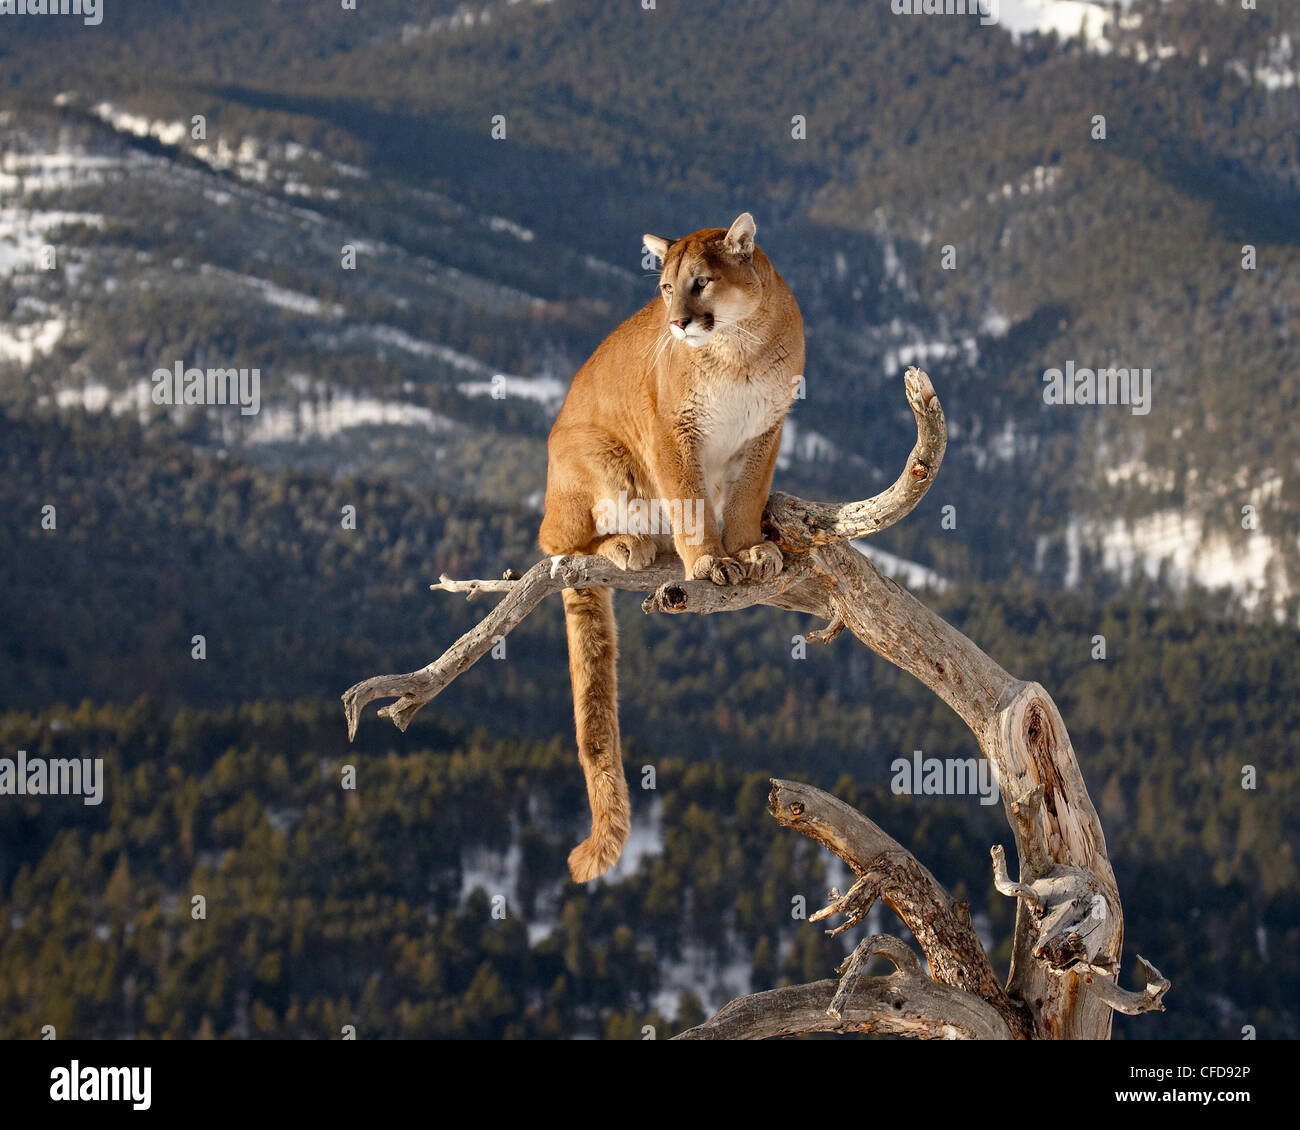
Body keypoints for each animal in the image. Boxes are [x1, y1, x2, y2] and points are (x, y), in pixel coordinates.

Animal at [535, 211, 800, 884]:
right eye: (663, 289)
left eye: (701, 283)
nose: (678, 322)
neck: (736, 352)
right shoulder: (671, 432)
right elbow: (689, 499)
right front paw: (709, 560)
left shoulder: (765, 432)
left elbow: (744, 498)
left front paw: (750, 549)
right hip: (598, 454)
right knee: (558, 541)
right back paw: (628, 545)